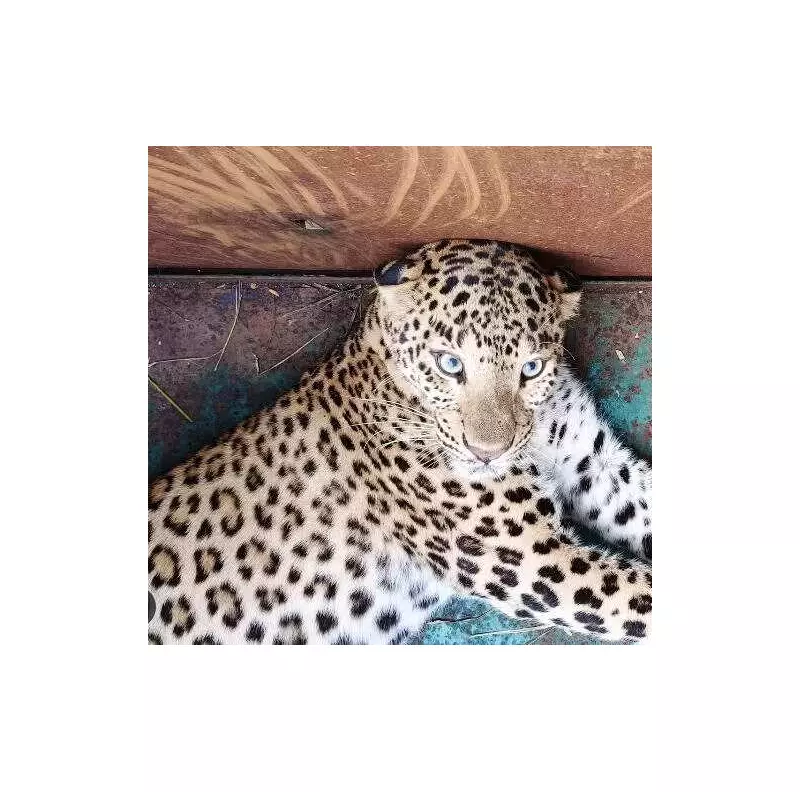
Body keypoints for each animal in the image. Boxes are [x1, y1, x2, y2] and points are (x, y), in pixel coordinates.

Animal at [148, 239, 652, 645]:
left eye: (531, 368)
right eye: (450, 364)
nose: (487, 454)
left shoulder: (596, 464)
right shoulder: (527, 556)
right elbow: (640, 599)